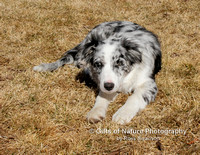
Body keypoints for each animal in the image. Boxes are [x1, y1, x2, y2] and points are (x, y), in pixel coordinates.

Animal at [32, 20, 161, 124]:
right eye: (98, 64)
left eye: (119, 63)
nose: (109, 86)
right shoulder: (105, 83)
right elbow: (101, 96)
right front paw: (95, 111)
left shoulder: (148, 84)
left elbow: (134, 97)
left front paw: (122, 113)